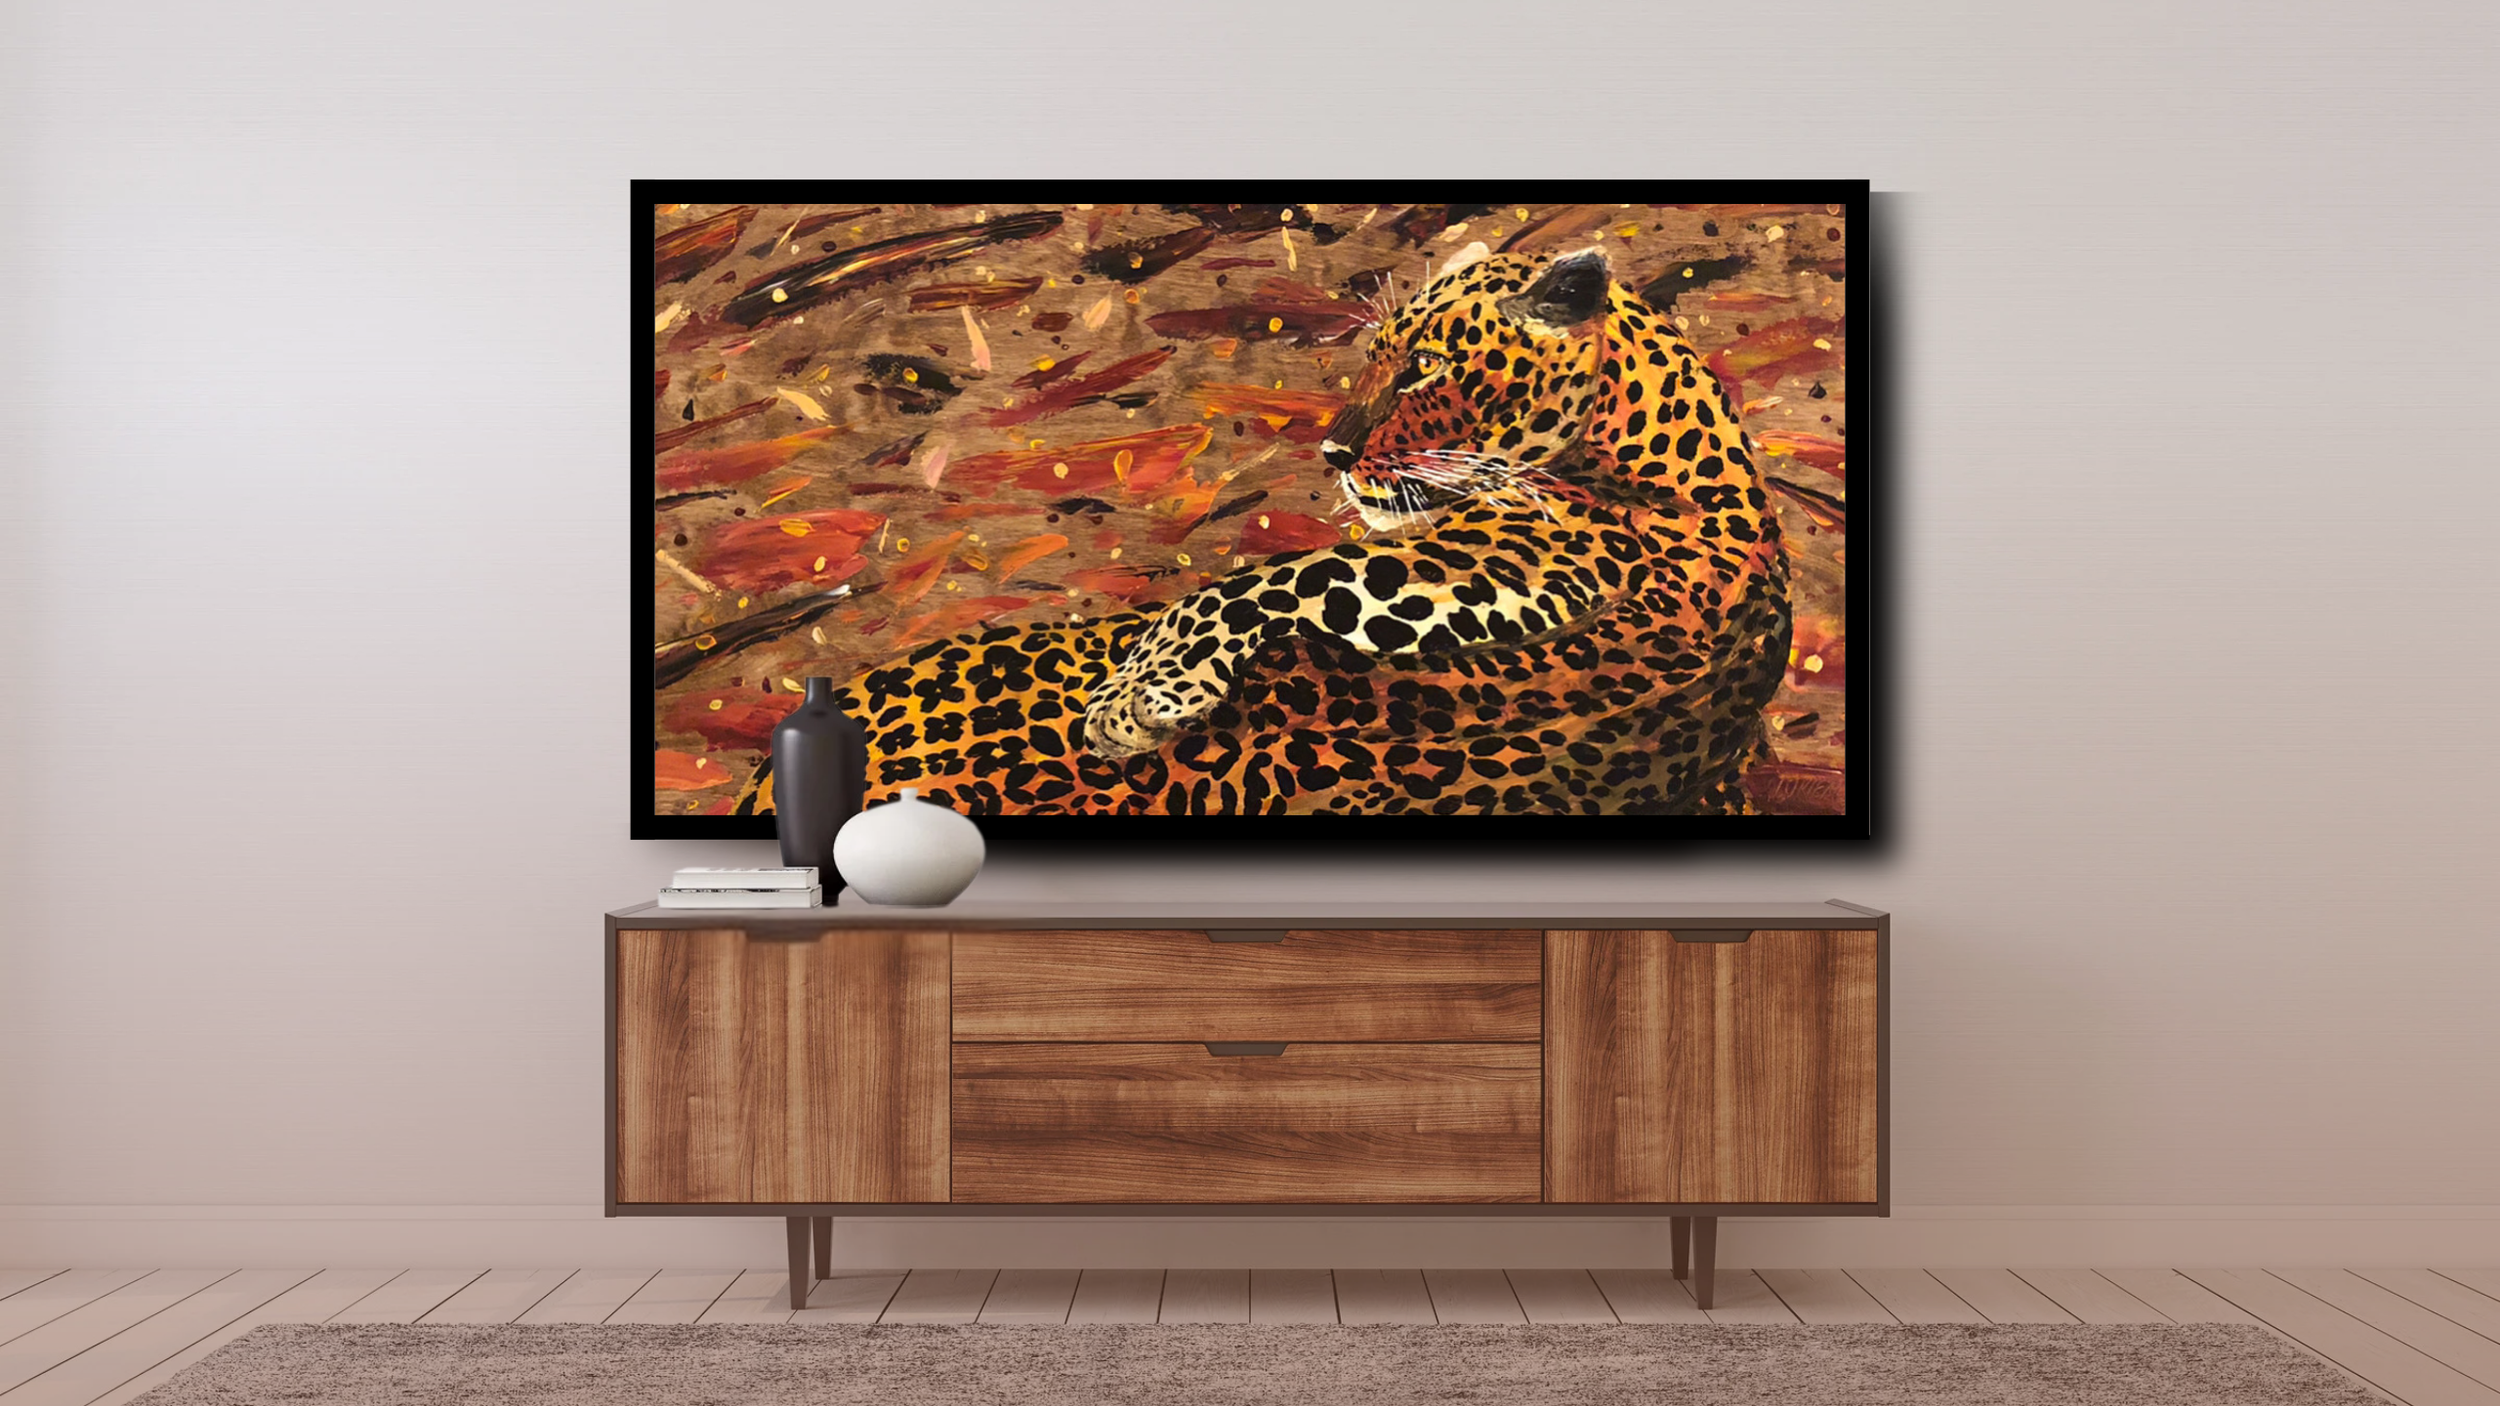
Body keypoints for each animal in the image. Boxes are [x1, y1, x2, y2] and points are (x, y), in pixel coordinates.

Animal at [732, 242, 1792, 817]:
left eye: (1425, 370)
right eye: (1376, 356)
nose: (1332, 451)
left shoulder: (1525, 551)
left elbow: (1270, 580)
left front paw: (1136, 702)